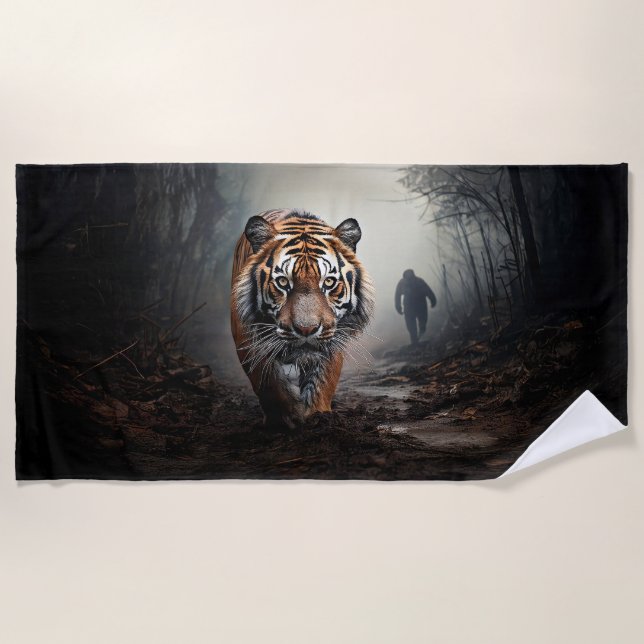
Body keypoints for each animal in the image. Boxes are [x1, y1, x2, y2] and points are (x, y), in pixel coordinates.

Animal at [230, 209, 374, 428]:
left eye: (329, 282)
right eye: (282, 282)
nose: (307, 329)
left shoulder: (333, 336)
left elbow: (322, 382)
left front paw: (317, 416)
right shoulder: (247, 338)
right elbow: (268, 382)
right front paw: (284, 419)